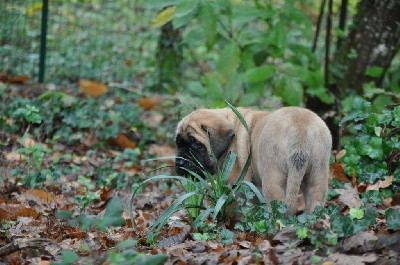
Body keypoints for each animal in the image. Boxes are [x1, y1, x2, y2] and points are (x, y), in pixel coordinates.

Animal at [175, 106, 332, 213]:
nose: (180, 163)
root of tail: (301, 128)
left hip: (274, 181)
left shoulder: (234, 180)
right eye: (178, 144)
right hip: (317, 175)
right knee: (315, 201)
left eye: (197, 144)